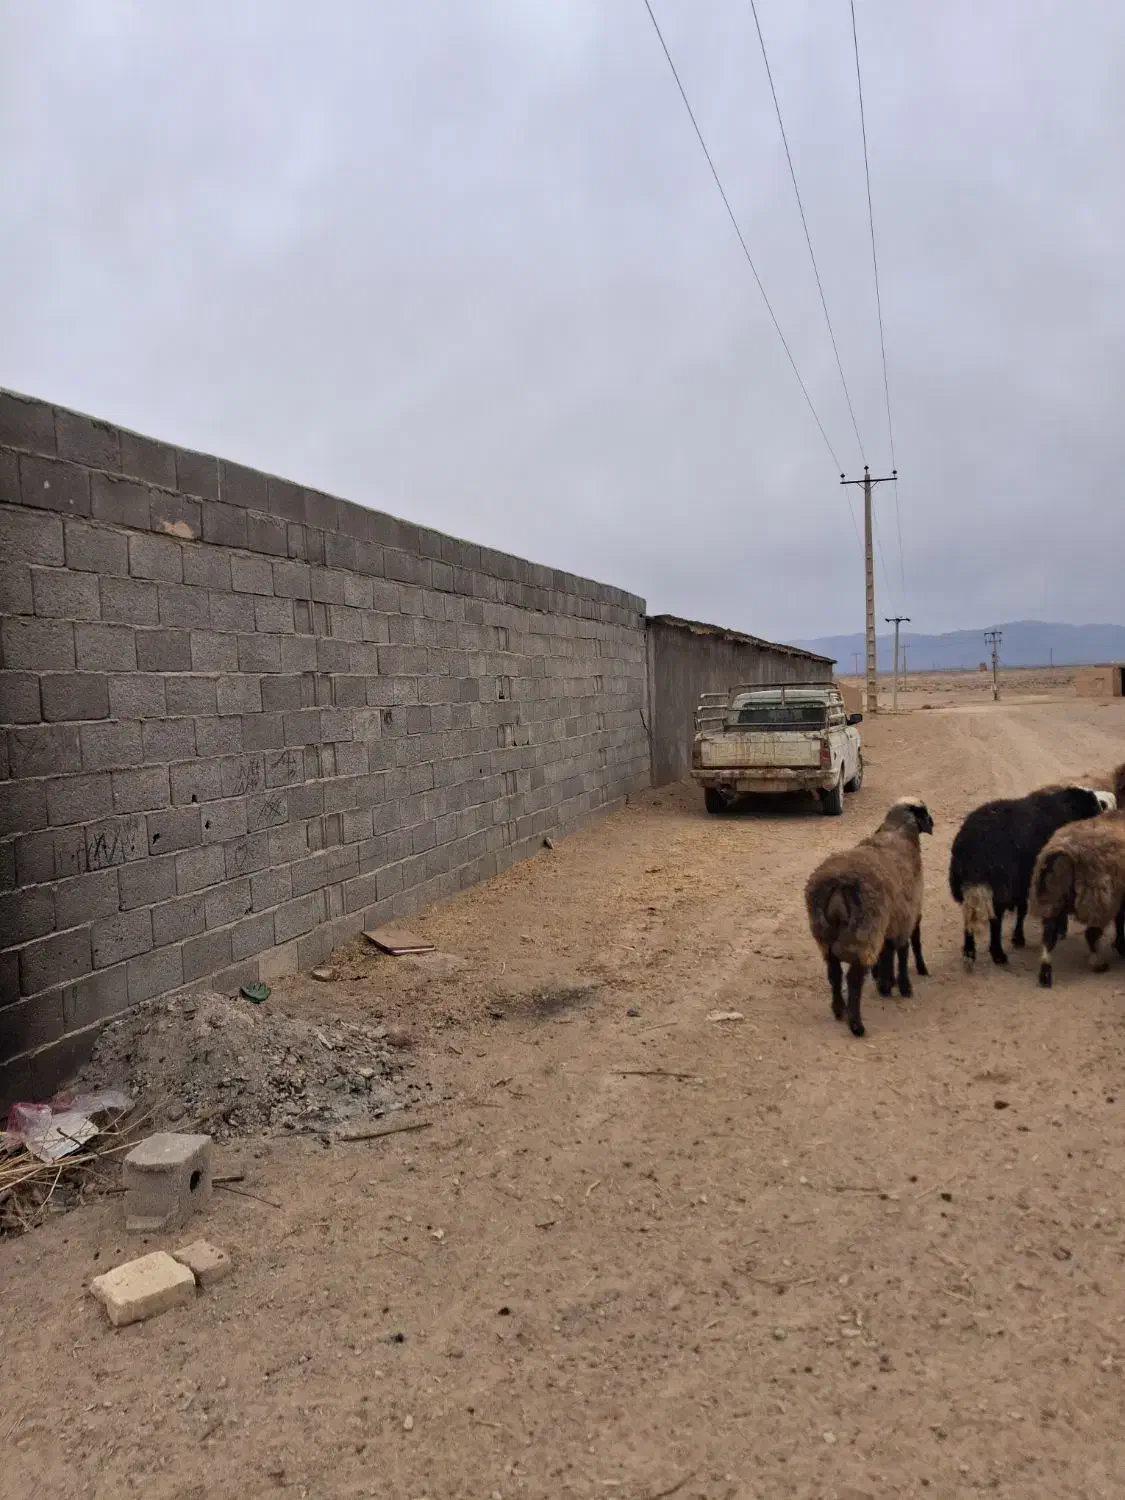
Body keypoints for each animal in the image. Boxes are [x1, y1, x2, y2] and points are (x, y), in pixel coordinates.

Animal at [805, 797, 934, 1038]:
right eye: (925, 813)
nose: (933, 823)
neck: (898, 832)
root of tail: (838, 883)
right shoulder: (906, 916)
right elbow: (903, 952)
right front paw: (903, 986)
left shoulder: (891, 920)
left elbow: (888, 952)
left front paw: (886, 982)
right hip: (864, 933)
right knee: (853, 980)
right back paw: (856, 1024)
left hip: (826, 935)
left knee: (834, 974)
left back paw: (839, 1010)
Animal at [949, 785, 1114, 971]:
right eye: (1094, 808)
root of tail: (974, 850)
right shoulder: (1028, 881)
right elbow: (1024, 909)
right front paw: (1022, 938)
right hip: (1001, 887)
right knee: (995, 919)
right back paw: (998, 954)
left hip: (963, 885)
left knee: (970, 916)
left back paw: (969, 953)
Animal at [1030, 809, 1125, 987]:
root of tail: (1063, 851)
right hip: (1099, 900)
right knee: (1091, 934)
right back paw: (1099, 964)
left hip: (1052, 900)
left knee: (1048, 936)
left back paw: (1045, 974)